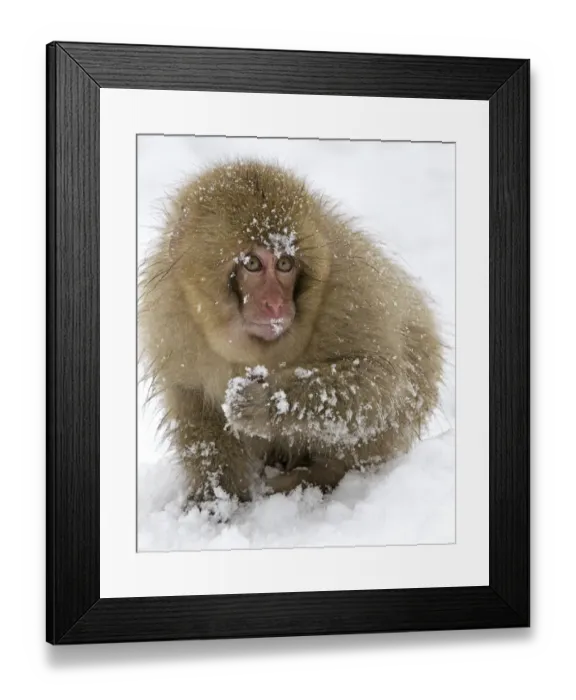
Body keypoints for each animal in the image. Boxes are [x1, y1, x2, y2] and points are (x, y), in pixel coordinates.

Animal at [138, 158, 444, 506]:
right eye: (253, 264)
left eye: (285, 264)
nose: (275, 304)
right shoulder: (171, 316)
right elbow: (193, 400)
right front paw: (215, 499)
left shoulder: (351, 290)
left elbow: (380, 381)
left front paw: (264, 402)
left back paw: (317, 477)